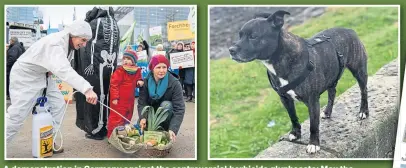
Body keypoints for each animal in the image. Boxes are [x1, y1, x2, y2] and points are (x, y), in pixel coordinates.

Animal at [230, 10, 370, 154]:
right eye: (239, 36)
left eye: (253, 36)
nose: (231, 50)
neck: (280, 58)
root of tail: (349, 30)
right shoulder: (285, 98)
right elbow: (292, 116)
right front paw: (296, 133)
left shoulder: (312, 101)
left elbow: (313, 125)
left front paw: (313, 144)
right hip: (332, 74)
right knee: (332, 92)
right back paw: (327, 112)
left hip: (359, 71)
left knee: (363, 90)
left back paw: (363, 111)